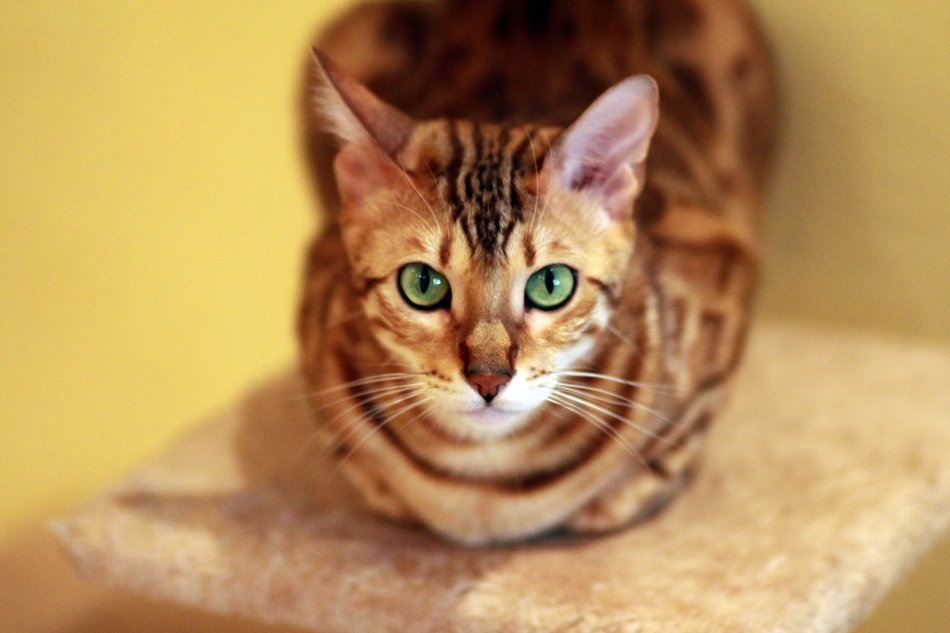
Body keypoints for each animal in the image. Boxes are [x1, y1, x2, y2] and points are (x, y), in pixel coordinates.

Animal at [300, 0, 780, 544]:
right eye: (423, 284)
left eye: (551, 285)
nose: (489, 380)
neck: (483, 492)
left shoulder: (723, 270)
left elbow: (673, 444)